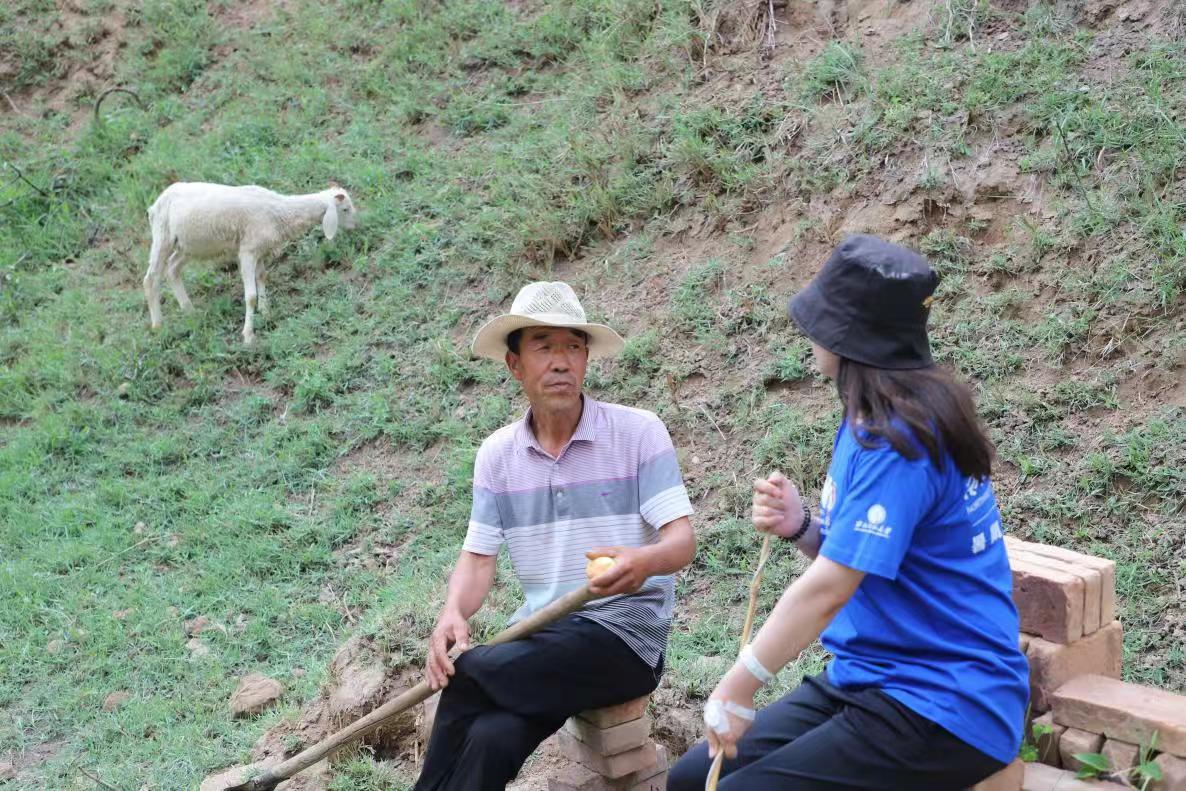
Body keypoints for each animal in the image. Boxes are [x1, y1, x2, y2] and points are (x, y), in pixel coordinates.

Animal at [143, 182, 357, 344]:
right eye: (345, 209)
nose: (357, 226)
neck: (279, 211)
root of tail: (155, 204)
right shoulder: (247, 251)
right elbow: (250, 296)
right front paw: (248, 335)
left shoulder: (260, 250)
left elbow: (262, 277)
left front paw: (266, 311)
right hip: (163, 236)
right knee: (151, 278)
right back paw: (158, 325)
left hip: (188, 246)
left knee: (172, 268)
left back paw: (190, 311)